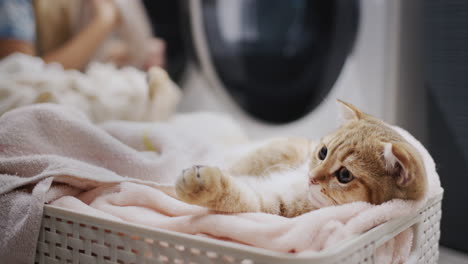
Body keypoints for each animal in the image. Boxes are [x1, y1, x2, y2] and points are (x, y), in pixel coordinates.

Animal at [176, 100, 428, 217]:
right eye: (323, 152)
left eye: (344, 175)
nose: (311, 177)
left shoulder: (271, 208)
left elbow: (237, 198)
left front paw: (201, 185)